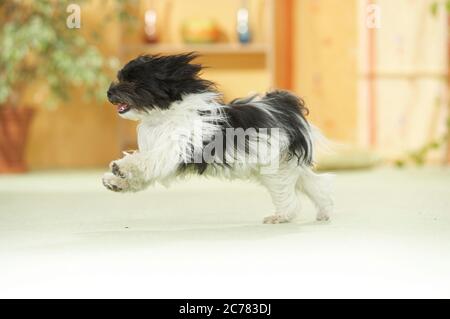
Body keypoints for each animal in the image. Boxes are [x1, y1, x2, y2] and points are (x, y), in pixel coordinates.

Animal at [103, 53, 332, 224]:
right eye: (120, 78)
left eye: (132, 81)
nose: (109, 92)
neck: (164, 114)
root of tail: (285, 107)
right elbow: (143, 173)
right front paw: (115, 181)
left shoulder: (174, 149)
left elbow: (145, 160)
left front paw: (121, 167)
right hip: (283, 164)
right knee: (315, 183)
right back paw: (324, 211)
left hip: (274, 168)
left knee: (289, 195)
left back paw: (282, 216)